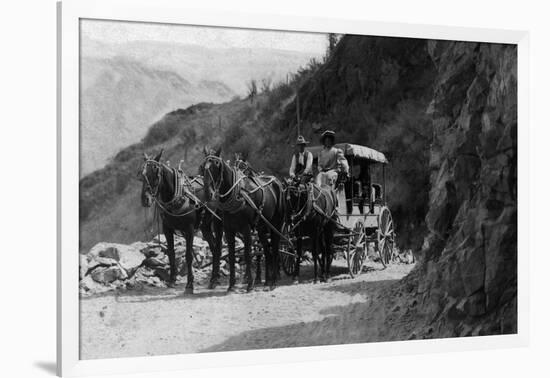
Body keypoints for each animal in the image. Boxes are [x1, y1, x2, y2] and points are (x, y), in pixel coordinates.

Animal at [140, 149, 224, 290]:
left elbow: (189, 255)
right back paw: (215, 277)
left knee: (217, 246)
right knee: (214, 247)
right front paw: (172, 280)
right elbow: (171, 253)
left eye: (156, 174)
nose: (145, 200)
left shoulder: (189, 230)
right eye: (142, 174)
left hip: (217, 222)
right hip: (205, 226)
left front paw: (189, 284)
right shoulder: (167, 229)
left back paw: (214, 279)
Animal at [205, 149, 286, 290]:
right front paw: (231, 284)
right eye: (202, 166)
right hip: (261, 227)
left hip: (276, 223)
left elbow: (248, 254)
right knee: (266, 249)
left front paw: (249, 283)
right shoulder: (227, 228)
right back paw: (267, 280)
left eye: (216, 164)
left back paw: (273, 281)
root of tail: (278, 182)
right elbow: (230, 254)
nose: (208, 192)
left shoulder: (246, 228)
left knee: (275, 248)